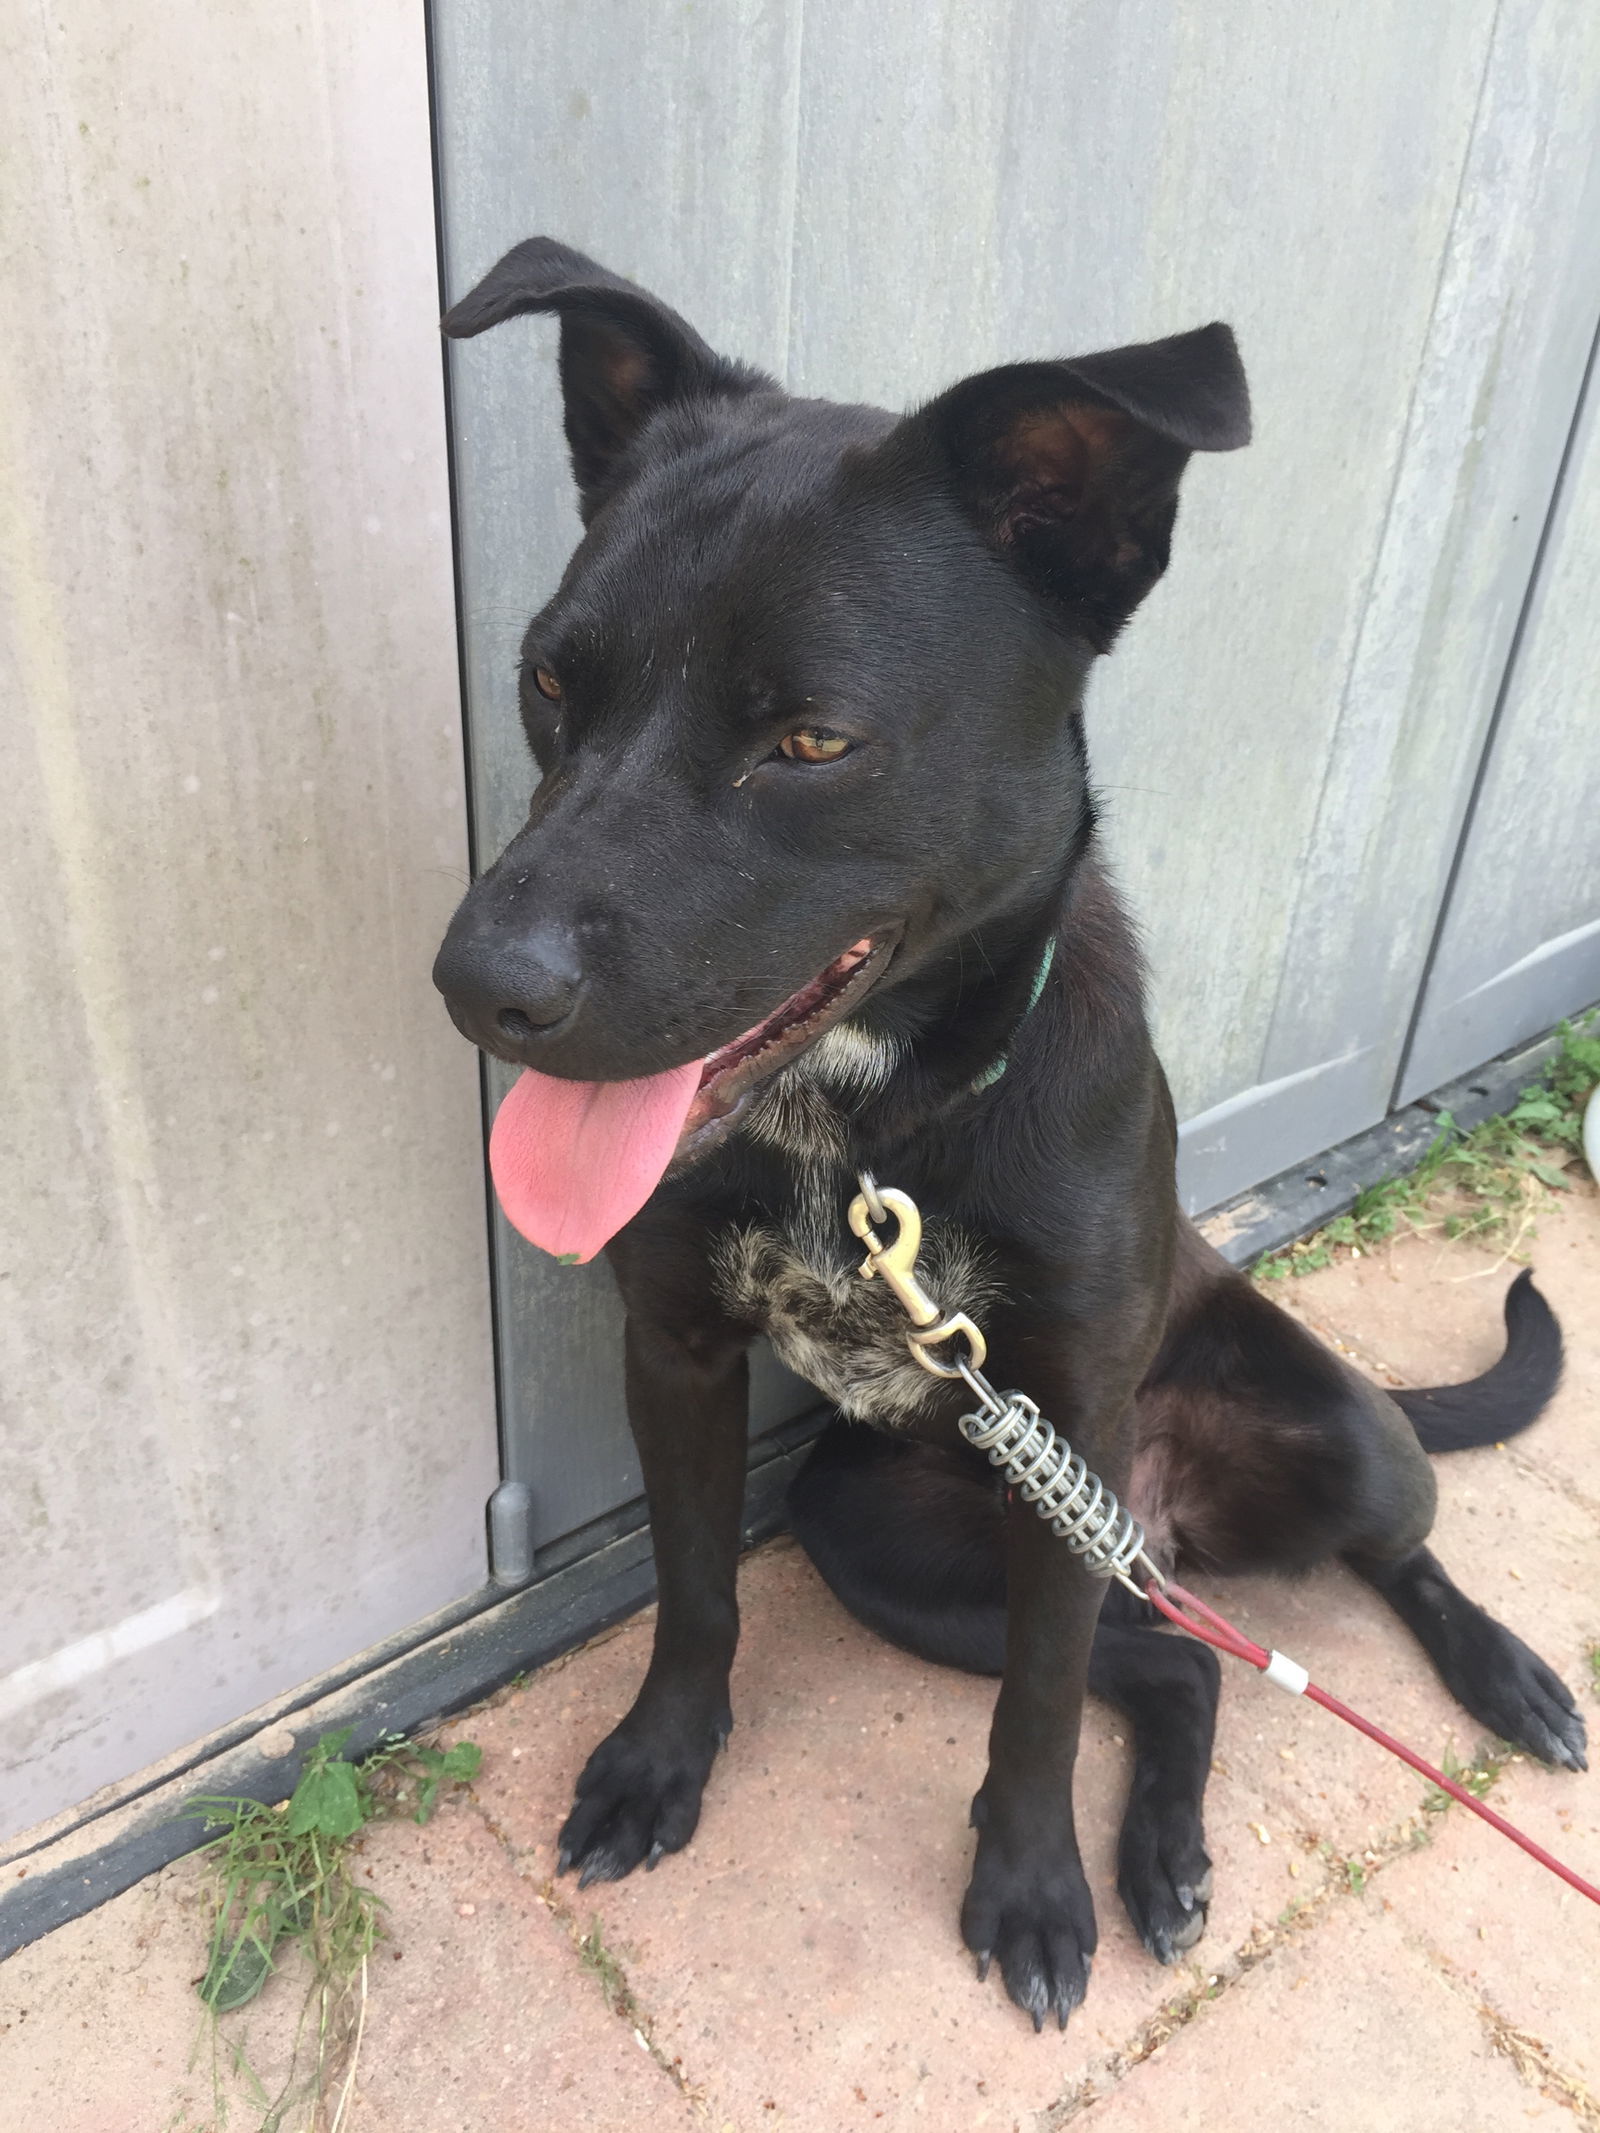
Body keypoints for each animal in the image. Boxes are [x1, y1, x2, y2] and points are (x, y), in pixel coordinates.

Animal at [428, 242, 1595, 2022]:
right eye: (552, 680)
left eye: (812, 739)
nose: (477, 985)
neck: (863, 1132)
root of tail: (1162, 1529)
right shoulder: (677, 1353)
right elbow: (694, 1594)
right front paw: (658, 1765)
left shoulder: (1060, 1421)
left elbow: (1038, 1708)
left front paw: (1032, 1889)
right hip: (878, 1534)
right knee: (1180, 1665)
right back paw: (1166, 1852)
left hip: (1301, 1443)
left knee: (1392, 1552)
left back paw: (1504, 1674)